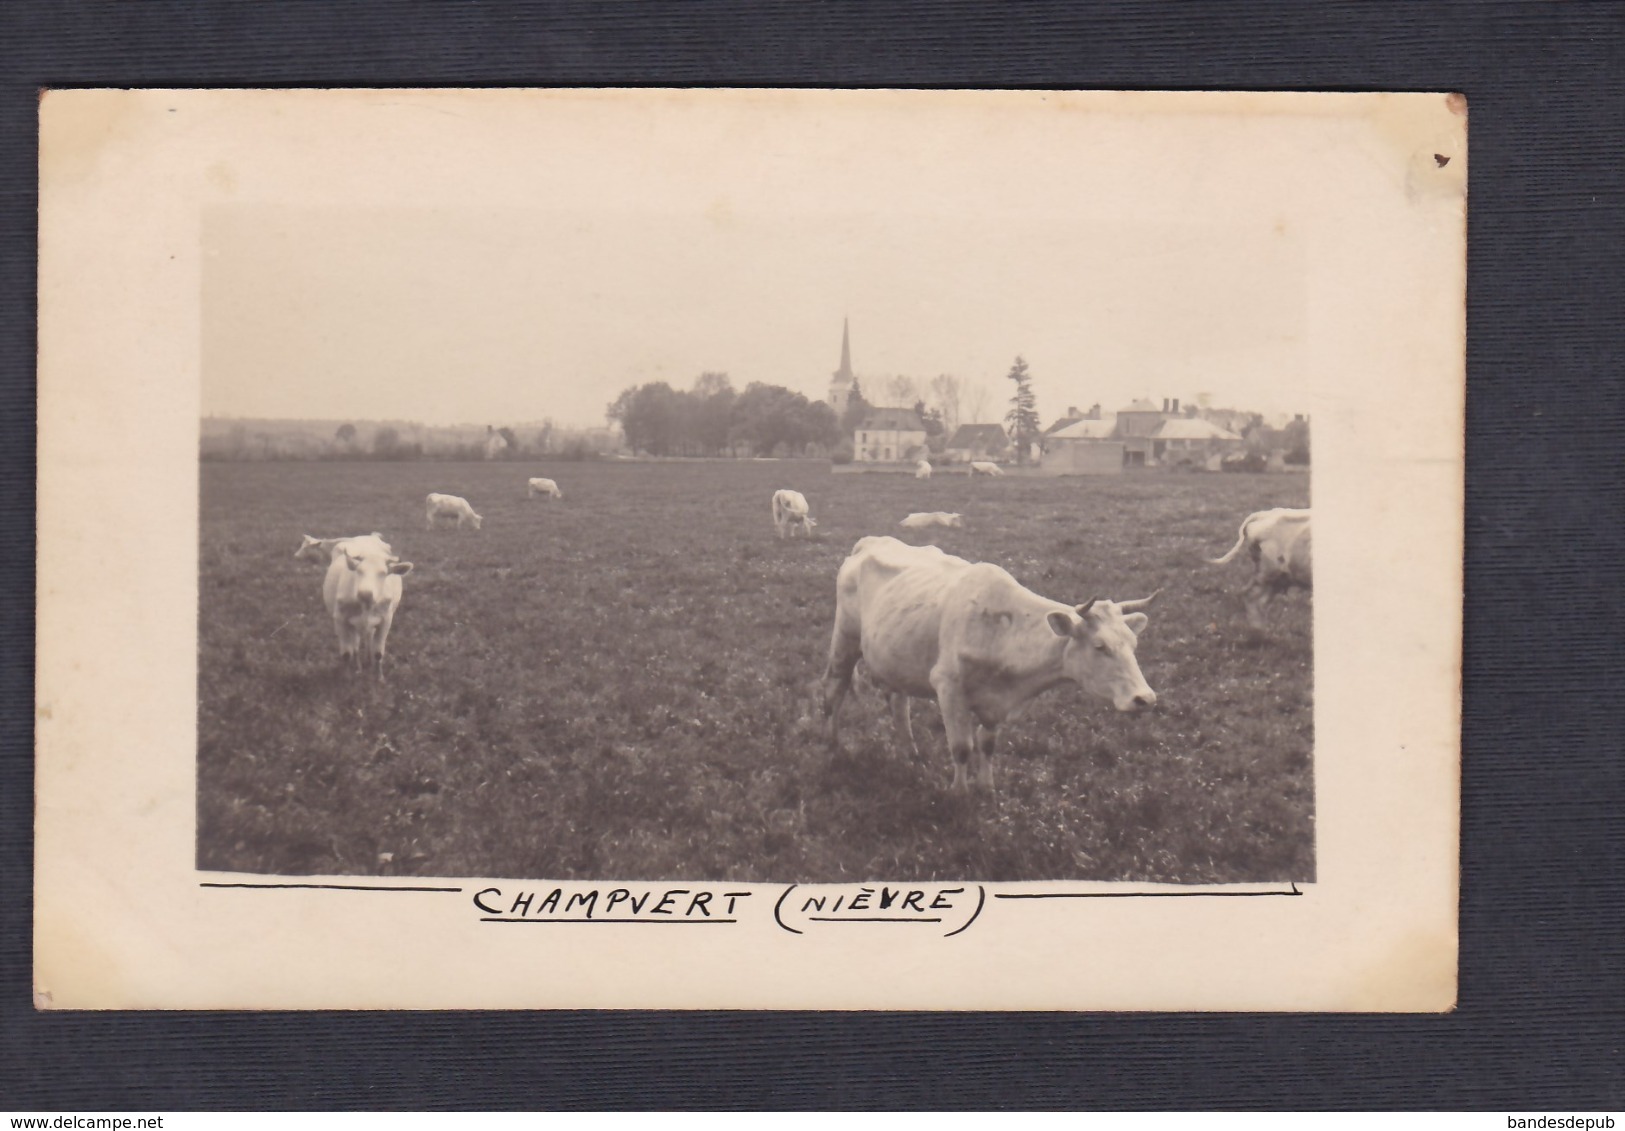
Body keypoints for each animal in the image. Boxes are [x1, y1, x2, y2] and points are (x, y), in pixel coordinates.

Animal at [320, 533, 412, 676]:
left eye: (383, 573)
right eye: (358, 571)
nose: (365, 593)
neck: (366, 606)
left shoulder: (386, 620)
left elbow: (378, 653)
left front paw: (379, 677)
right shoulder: (340, 620)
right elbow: (347, 654)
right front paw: (347, 677)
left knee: (368, 638)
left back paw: (369, 659)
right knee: (356, 646)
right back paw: (359, 666)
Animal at [825, 536, 1157, 786]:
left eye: (1133, 644)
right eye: (1100, 647)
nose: (1145, 699)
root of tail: (870, 541)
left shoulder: (996, 701)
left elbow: (987, 745)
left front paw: (986, 788)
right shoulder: (948, 688)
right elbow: (962, 748)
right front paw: (959, 793)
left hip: (896, 658)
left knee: (898, 704)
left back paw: (911, 754)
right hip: (844, 640)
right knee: (835, 689)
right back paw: (832, 745)